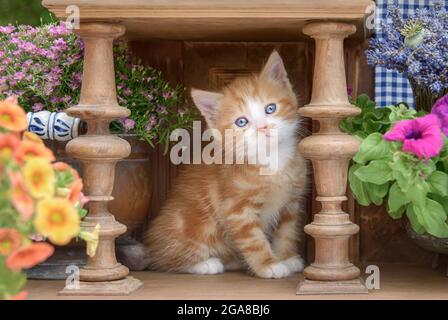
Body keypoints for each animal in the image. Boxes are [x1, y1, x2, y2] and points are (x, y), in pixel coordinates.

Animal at [145, 50, 310, 278]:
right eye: (241, 122)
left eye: (270, 108)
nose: (263, 127)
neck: (272, 159)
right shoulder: (238, 209)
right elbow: (253, 240)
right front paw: (269, 265)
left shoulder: (291, 203)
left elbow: (286, 232)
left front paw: (286, 258)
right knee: (163, 261)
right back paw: (206, 264)